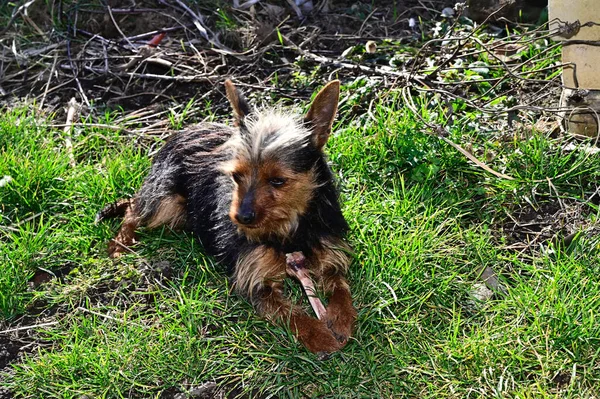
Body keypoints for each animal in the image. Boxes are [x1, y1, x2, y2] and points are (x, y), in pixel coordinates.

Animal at [95, 79, 354, 354]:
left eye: (278, 181)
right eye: (236, 176)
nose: (241, 218)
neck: (289, 230)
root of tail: (186, 129)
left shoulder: (330, 252)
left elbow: (340, 286)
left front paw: (340, 318)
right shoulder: (256, 280)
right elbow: (291, 314)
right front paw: (319, 334)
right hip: (166, 204)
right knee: (134, 206)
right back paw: (120, 243)